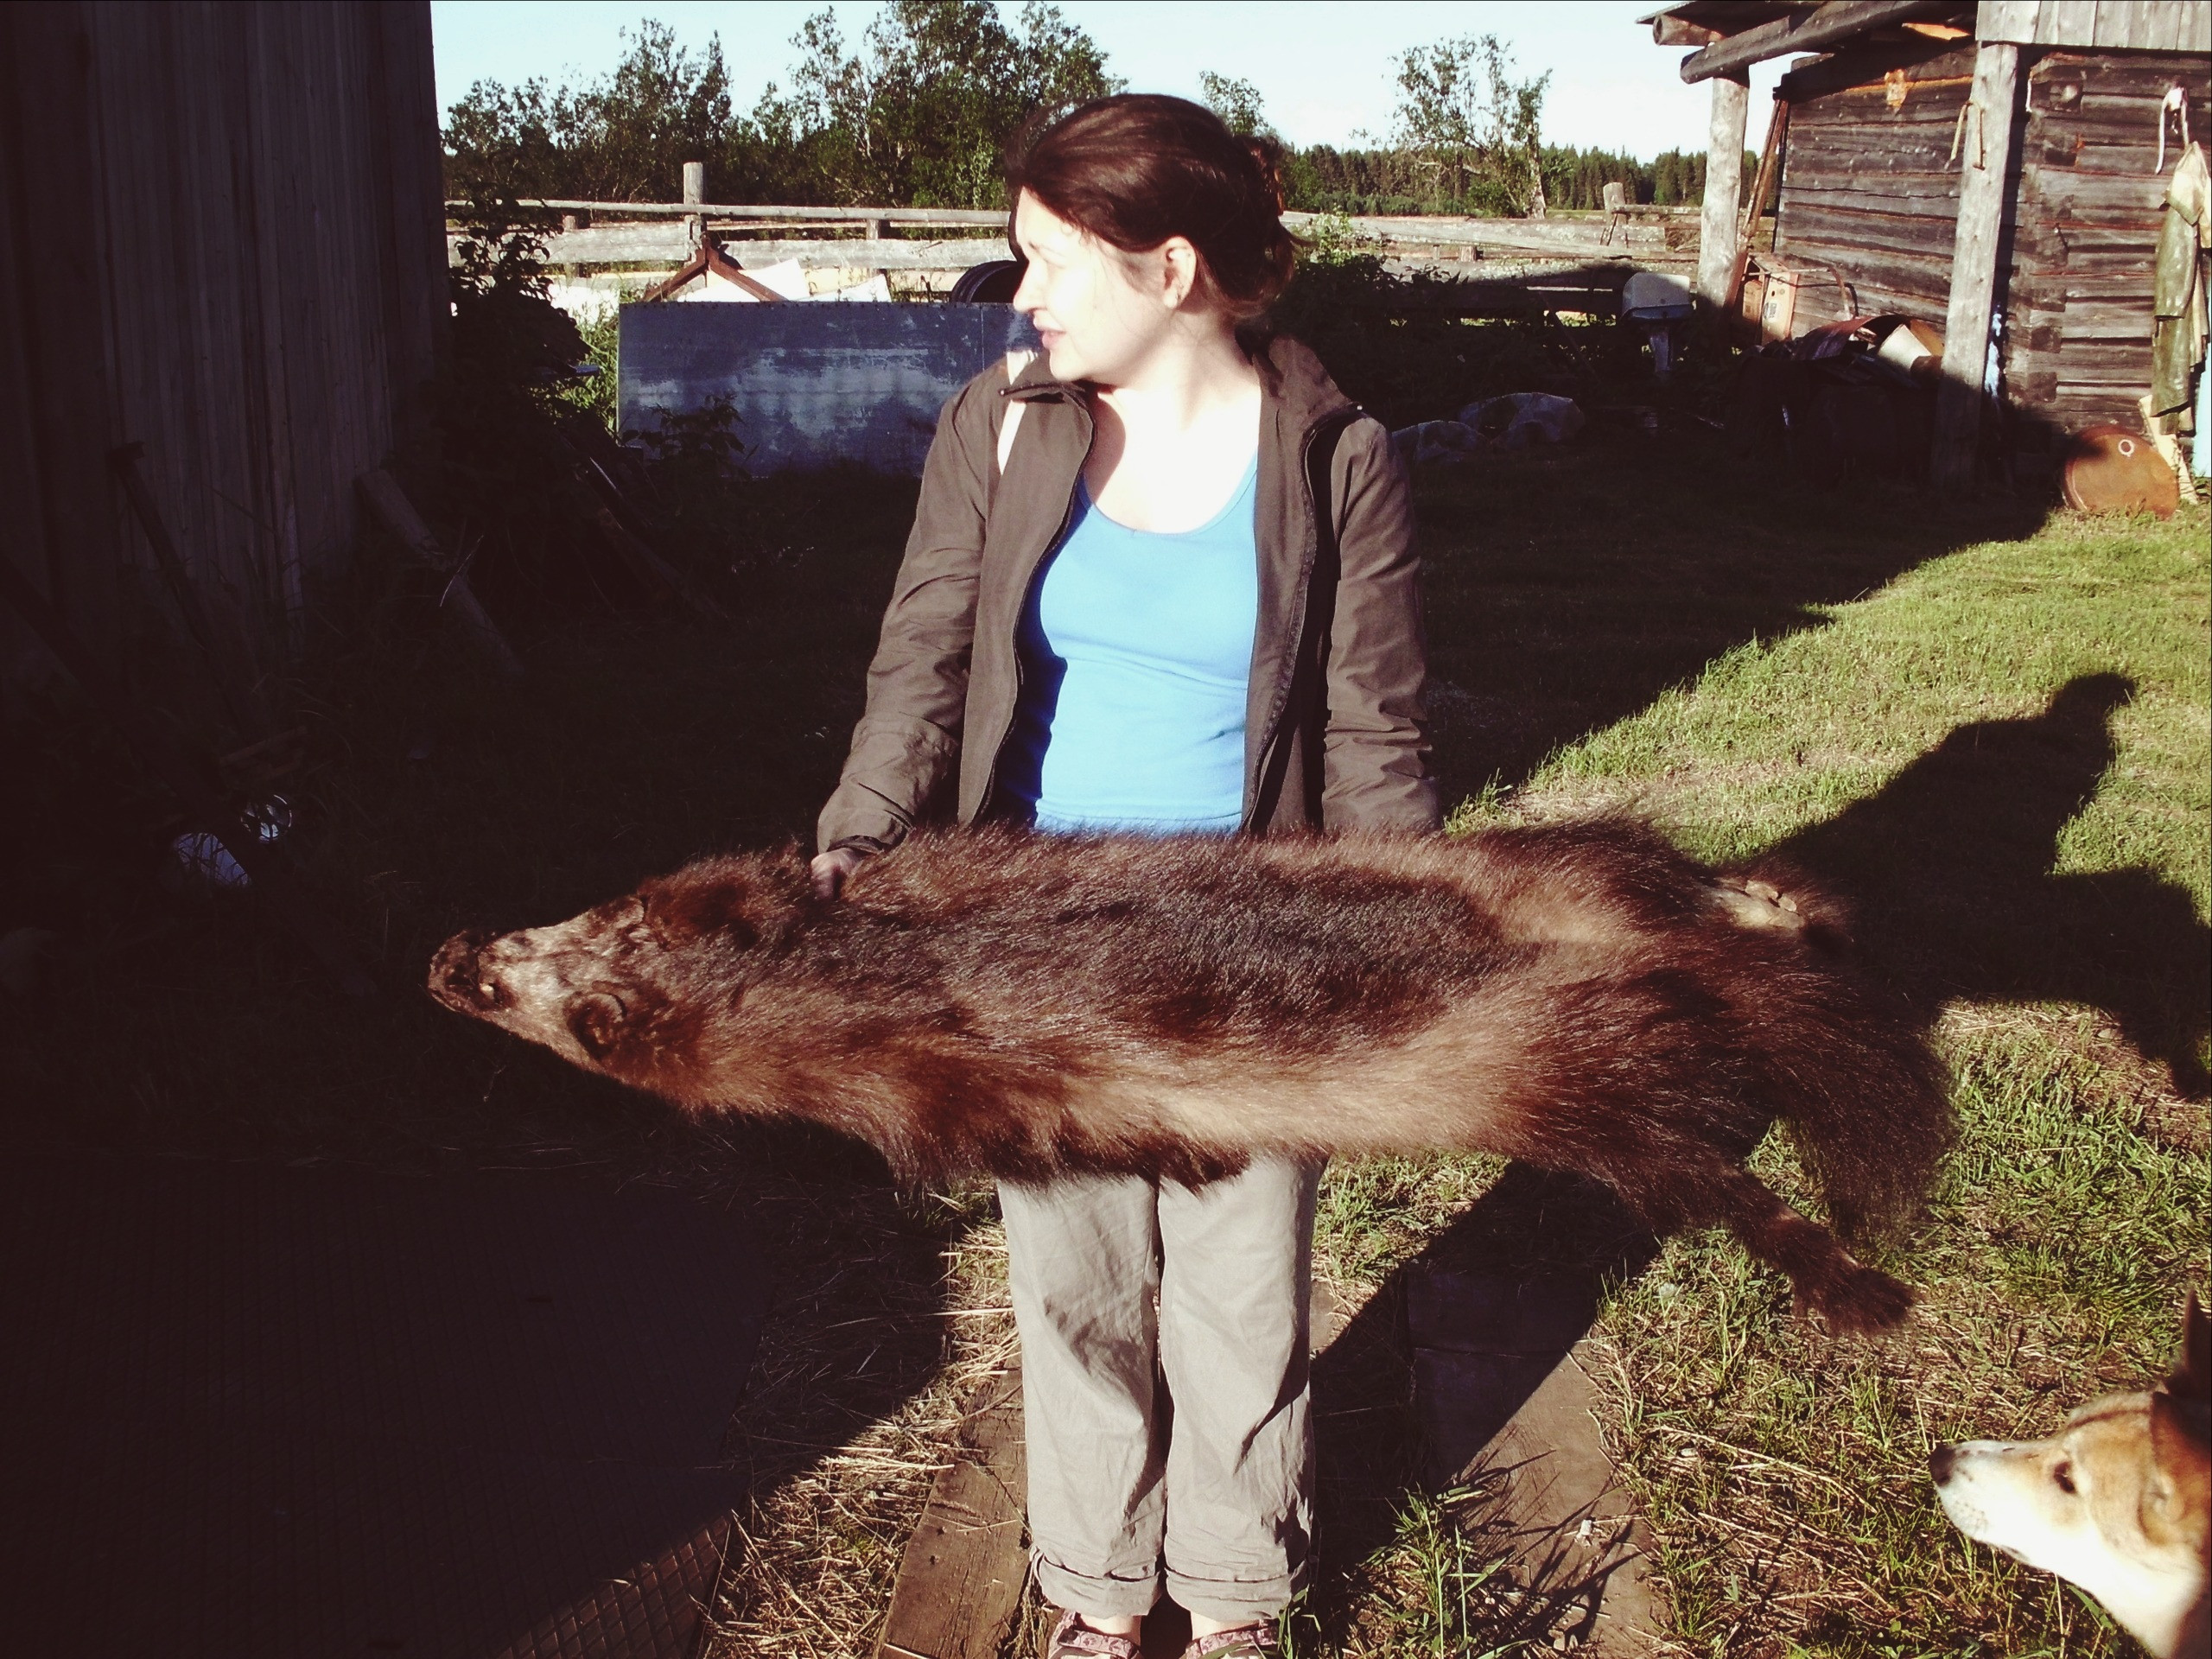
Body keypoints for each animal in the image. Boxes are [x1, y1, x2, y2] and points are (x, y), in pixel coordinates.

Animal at [431, 823, 1955, 1336]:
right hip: (1576, 885)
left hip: (1558, 1055)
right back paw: (1777, 908)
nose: (444, 952)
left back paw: (1853, 1282)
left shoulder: (935, 1065)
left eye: (514, 983)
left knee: (1704, 1168)